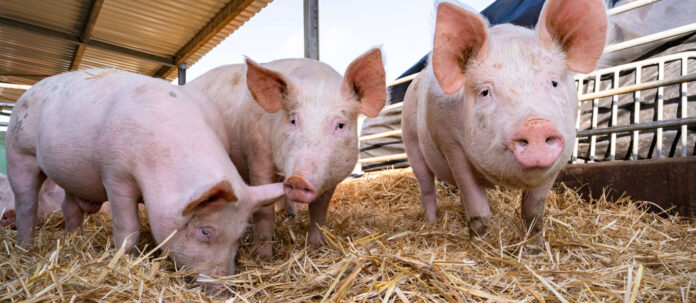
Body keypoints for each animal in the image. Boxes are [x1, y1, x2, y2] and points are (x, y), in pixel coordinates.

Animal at [5, 69, 282, 284]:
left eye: (241, 234)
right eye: (205, 231)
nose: (222, 289)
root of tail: (27, 92)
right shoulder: (115, 173)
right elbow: (128, 227)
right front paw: (127, 260)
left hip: (70, 176)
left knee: (69, 206)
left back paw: (75, 238)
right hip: (19, 152)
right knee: (26, 202)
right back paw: (24, 247)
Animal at [189, 48, 386, 260]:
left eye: (340, 125)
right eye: (292, 120)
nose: (298, 180)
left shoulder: (333, 175)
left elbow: (319, 212)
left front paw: (317, 248)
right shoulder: (257, 155)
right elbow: (264, 213)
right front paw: (264, 259)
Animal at [400, 0, 608, 251]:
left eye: (554, 82)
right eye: (485, 92)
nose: (535, 125)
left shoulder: (557, 162)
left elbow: (533, 211)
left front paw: (535, 250)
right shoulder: (451, 143)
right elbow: (479, 210)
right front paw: (483, 250)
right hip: (411, 143)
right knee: (427, 187)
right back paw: (431, 224)